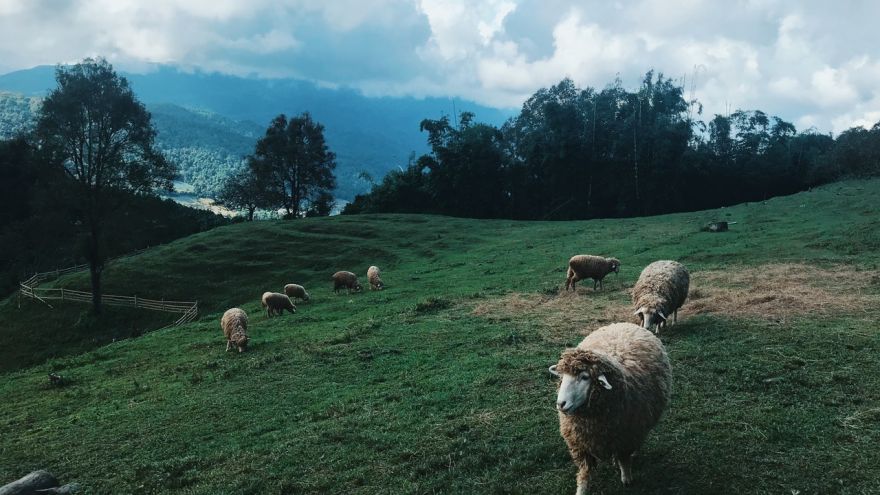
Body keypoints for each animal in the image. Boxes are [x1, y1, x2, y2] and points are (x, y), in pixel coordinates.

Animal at [552, 322, 672, 492]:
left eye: (585, 377)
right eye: (563, 377)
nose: (561, 404)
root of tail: (624, 324)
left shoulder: (626, 438)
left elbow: (624, 460)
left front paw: (626, 479)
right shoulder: (581, 445)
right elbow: (584, 472)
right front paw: (581, 489)